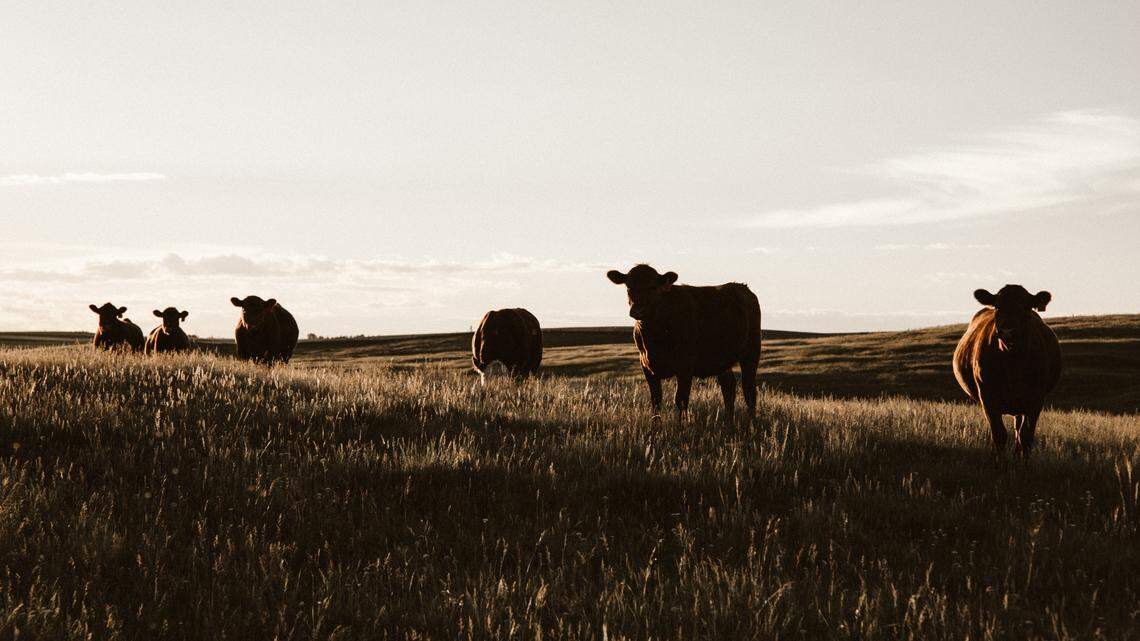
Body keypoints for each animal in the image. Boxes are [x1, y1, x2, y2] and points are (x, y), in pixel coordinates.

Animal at [606, 264, 762, 425]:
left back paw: (752, 422)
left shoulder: (685, 366)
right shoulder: (646, 367)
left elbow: (680, 399)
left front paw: (681, 428)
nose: (638, 310)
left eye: (653, 287)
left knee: (749, 388)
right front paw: (655, 429)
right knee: (728, 387)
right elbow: (656, 400)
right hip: (722, 359)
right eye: (628, 286)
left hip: (751, 351)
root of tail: (741, 286)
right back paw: (728, 422)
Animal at [953, 285, 1062, 456]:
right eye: (998, 306)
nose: (1007, 332)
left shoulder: (1036, 399)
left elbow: (1026, 436)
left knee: (1018, 430)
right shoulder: (987, 396)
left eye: (1026, 307)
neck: (1013, 364)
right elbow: (999, 434)